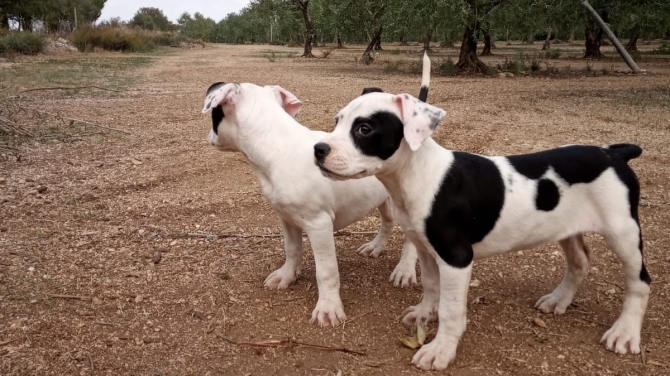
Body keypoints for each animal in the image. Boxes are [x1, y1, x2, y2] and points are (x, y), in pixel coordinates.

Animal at [202, 81, 418, 326]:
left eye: (214, 115)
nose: (209, 136)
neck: (275, 144)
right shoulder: (286, 217)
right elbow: (292, 249)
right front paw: (286, 276)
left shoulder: (319, 225)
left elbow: (326, 270)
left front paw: (328, 307)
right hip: (384, 197)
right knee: (387, 221)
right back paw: (376, 246)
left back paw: (405, 269)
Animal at [316, 61, 652, 368]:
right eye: (337, 121)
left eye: (364, 129)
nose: (318, 149)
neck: (418, 174)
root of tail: (613, 153)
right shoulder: (426, 249)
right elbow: (431, 286)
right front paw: (425, 314)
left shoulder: (456, 258)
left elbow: (451, 310)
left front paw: (440, 350)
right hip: (567, 228)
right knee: (580, 262)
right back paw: (559, 299)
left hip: (623, 232)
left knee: (640, 282)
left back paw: (624, 333)